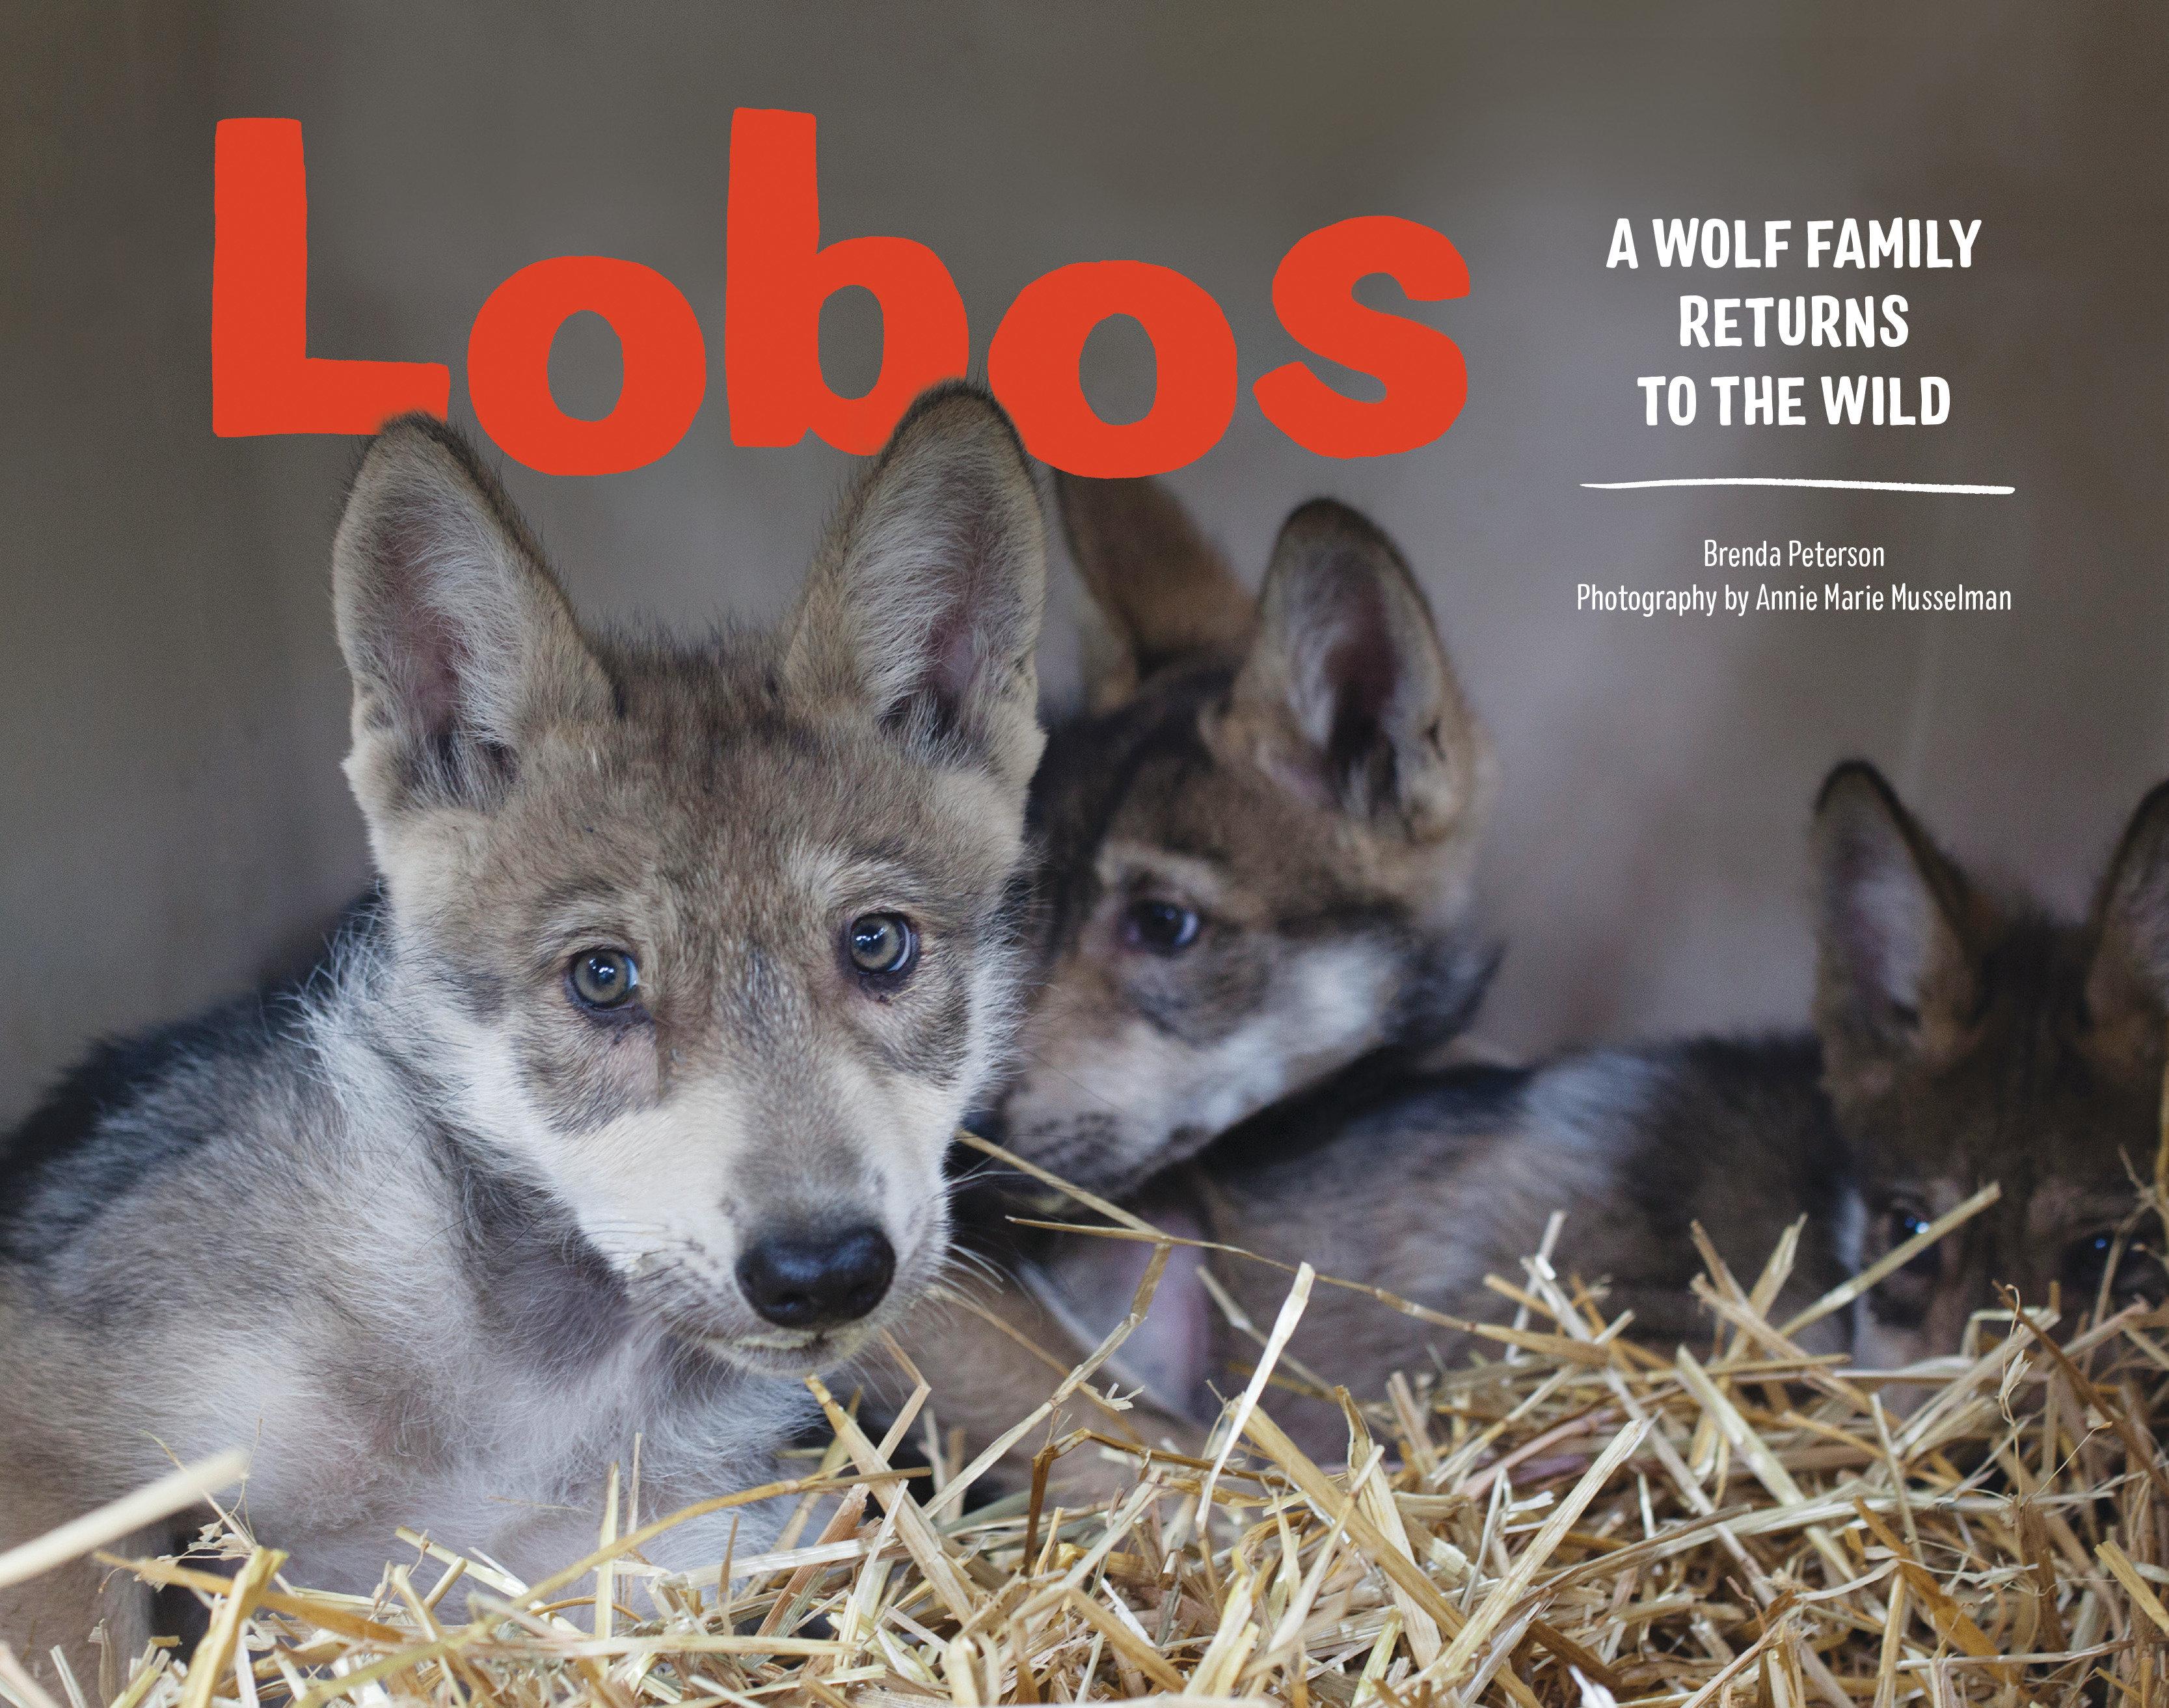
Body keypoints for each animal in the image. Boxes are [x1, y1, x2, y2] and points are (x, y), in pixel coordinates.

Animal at [0, 383, 1047, 1683]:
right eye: (602, 978)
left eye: (877, 946)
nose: (822, 1273)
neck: (537, 1405)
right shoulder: (54, 1431)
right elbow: (86, 1648)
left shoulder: (681, 1556)